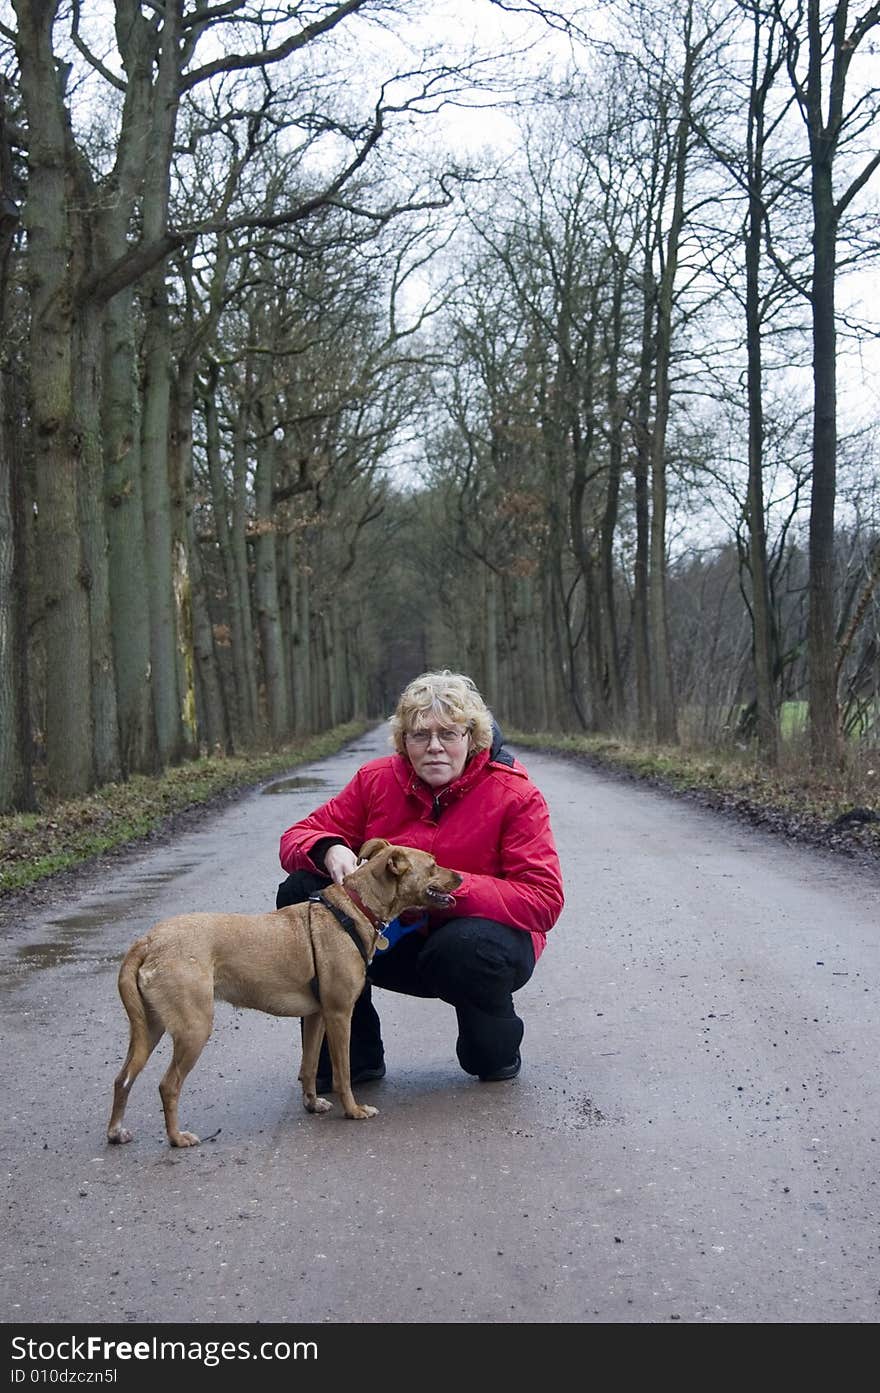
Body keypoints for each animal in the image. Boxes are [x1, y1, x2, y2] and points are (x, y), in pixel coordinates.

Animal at [108, 835, 459, 1142]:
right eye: (432, 865)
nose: (460, 877)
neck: (354, 908)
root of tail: (149, 940)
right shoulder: (339, 1014)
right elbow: (342, 1072)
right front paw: (353, 1110)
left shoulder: (318, 1016)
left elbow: (309, 1065)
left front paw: (312, 1103)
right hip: (193, 1028)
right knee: (168, 1085)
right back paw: (177, 1138)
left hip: (150, 1028)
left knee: (122, 1079)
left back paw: (116, 1132)